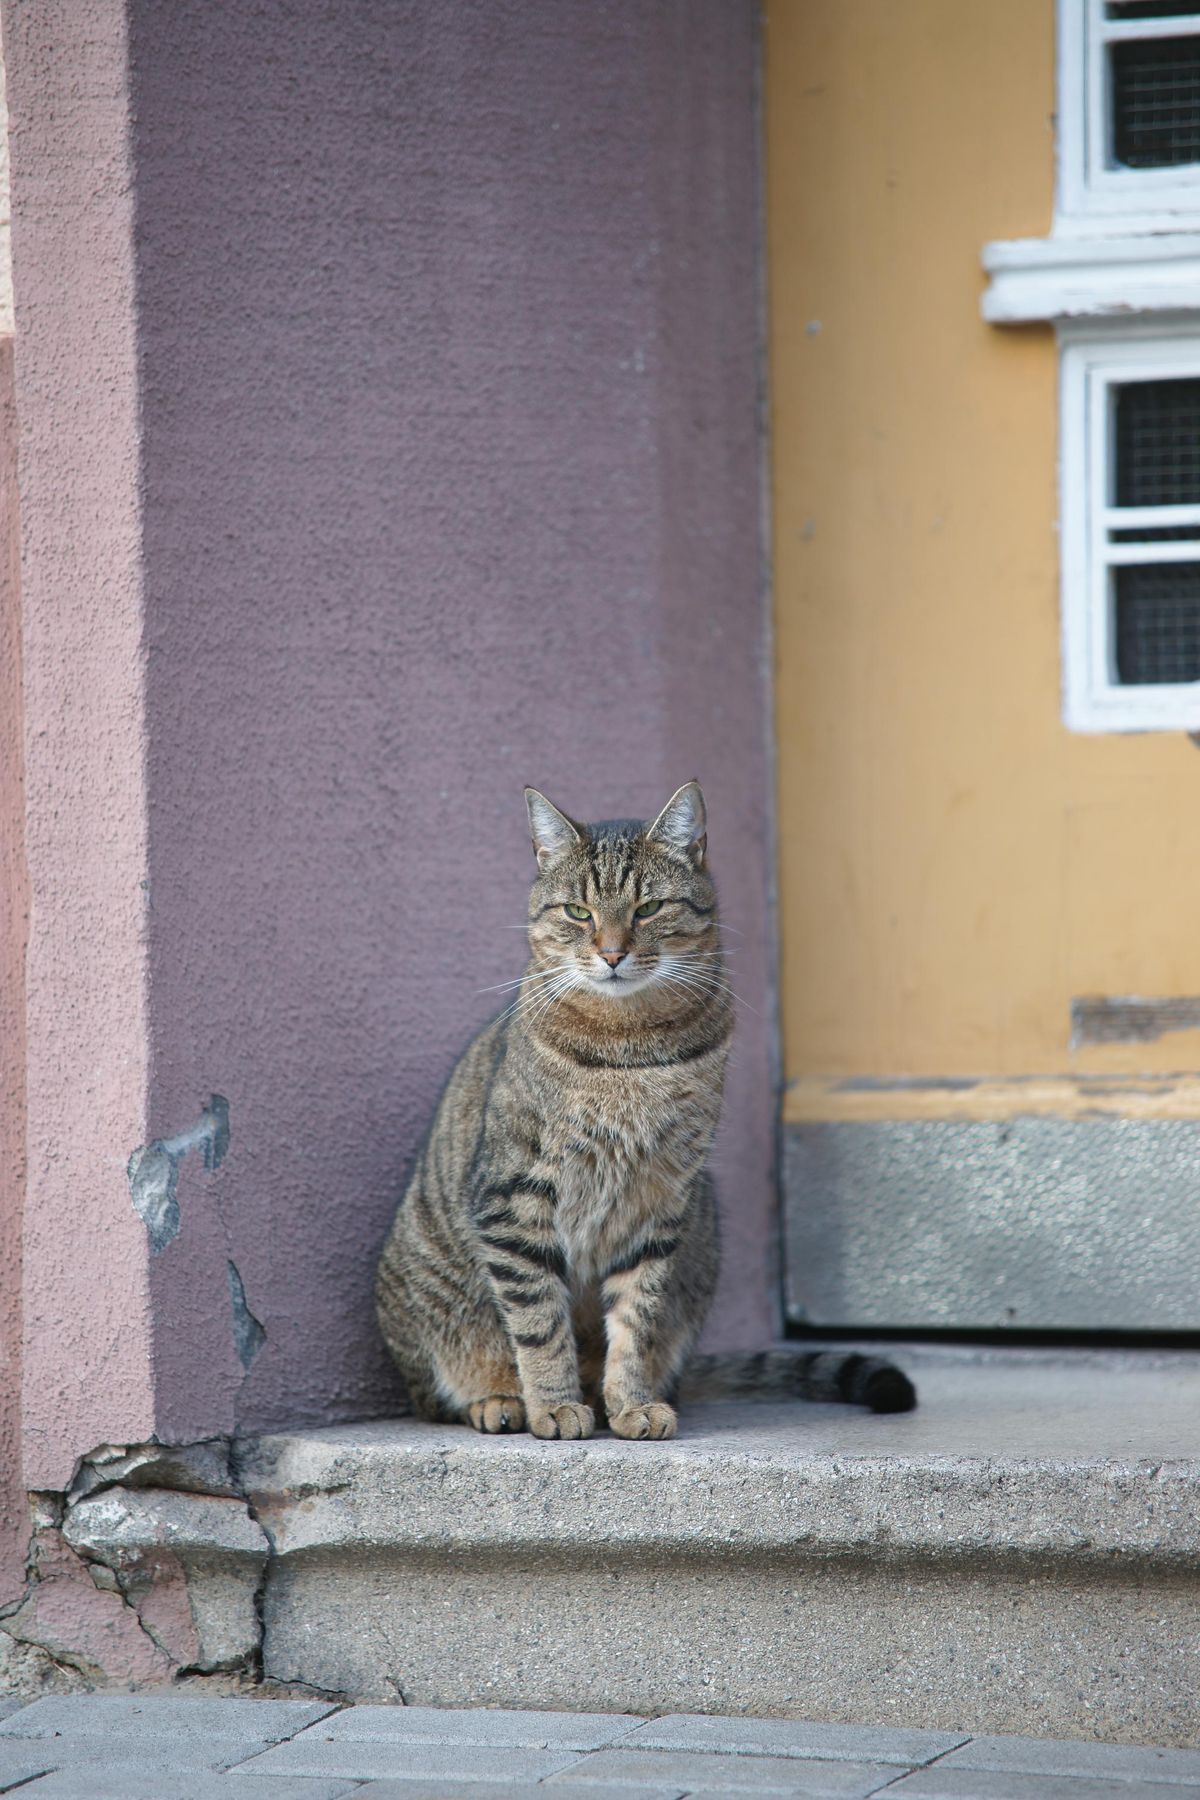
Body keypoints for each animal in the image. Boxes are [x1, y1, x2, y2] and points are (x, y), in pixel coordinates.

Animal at [379, 781, 913, 1440]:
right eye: (579, 913)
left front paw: (630, 1403)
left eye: (649, 908)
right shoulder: (516, 1195)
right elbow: (538, 1320)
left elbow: (637, 1320)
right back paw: (499, 1399)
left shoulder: (660, 1197)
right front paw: (553, 1405)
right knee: (440, 1390)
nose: (611, 953)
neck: (630, 1048)